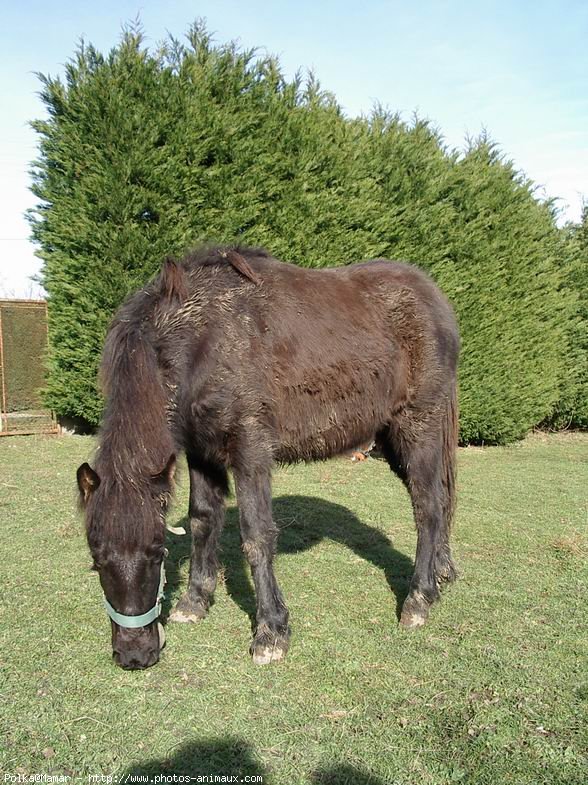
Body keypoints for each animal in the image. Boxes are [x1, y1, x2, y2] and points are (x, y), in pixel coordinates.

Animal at [76, 245, 460, 668]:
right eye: (96, 558)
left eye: (156, 551)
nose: (134, 655)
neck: (202, 337)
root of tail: (436, 301)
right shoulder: (201, 453)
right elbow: (202, 520)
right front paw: (194, 602)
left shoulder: (250, 448)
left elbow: (257, 534)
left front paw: (271, 632)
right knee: (441, 498)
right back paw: (442, 573)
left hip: (418, 426)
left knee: (428, 506)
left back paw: (419, 599)